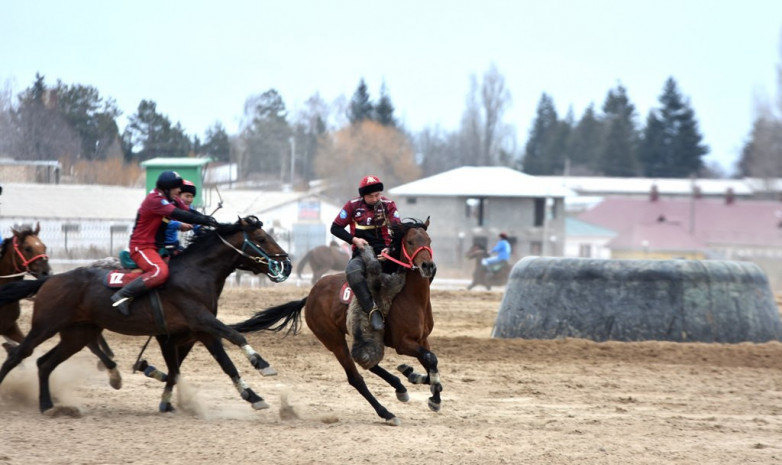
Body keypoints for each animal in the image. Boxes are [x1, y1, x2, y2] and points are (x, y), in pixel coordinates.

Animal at [0, 214, 292, 414]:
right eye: (262, 239)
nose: (287, 263)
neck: (196, 273)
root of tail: (50, 279)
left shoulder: (201, 331)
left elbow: (224, 364)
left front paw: (253, 397)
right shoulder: (201, 320)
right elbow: (235, 336)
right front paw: (262, 364)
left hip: (77, 334)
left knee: (44, 363)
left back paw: (47, 404)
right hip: (45, 326)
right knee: (18, 355)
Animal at [231, 218, 440, 424]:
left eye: (429, 240)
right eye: (410, 242)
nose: (427, 266)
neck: (410, 297)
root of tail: (310, 296)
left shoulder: (422, 340)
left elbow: (431, 364)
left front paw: (419, 379)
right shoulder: (402, 344)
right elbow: (431, 359)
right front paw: (433, 397)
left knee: (365, 361)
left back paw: (400, 386)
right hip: (333, 340)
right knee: (355, 377)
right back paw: (387, 413)